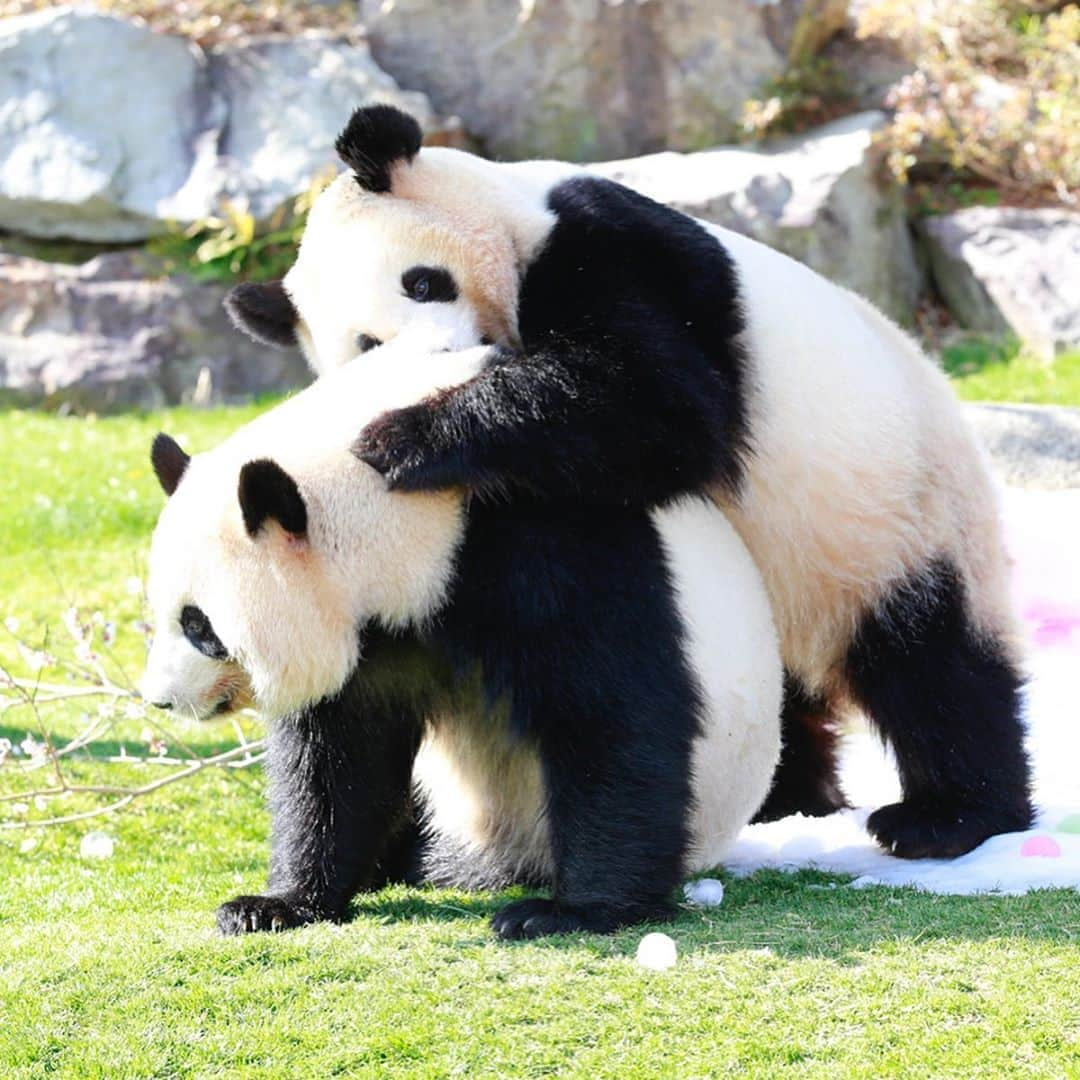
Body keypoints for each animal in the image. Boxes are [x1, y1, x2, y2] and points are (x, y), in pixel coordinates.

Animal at [141, 339, 786, 937]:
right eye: (160, 615)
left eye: (199, 626)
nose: (160, 699)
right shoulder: (377, 636)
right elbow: (338, 756)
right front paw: (275, 904)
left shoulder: (553, 539)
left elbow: (614, 715)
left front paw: (567, 912)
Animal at [227, 103, 1036, 859]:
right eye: (366, 344)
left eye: (423, 282)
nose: (449, 359)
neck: (513, 212)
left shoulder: (609, 249)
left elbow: (658, 399)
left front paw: (401, 437)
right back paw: (786, 799)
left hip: (899, 512)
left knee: (933, 667)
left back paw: (947, 815)